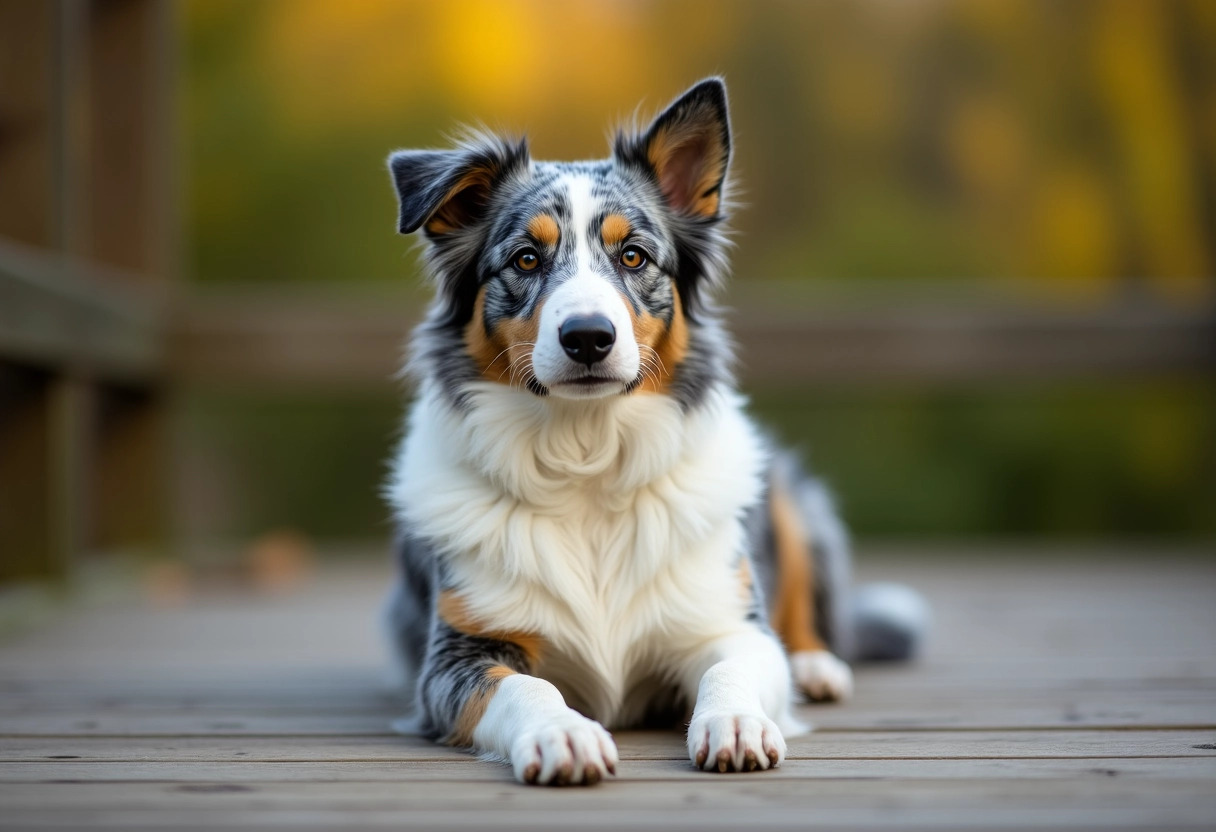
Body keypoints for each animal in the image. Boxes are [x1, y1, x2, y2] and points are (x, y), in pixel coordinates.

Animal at [381, 79, 919, 788]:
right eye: (526, 258)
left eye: (633, 255)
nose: (588, 337)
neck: (586, 458)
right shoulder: (457, 653)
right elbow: (527, 687)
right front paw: (562, 734)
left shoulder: (728, 621)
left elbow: (733, 664)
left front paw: (735, 722)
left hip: (789, 493)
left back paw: (816, 666)